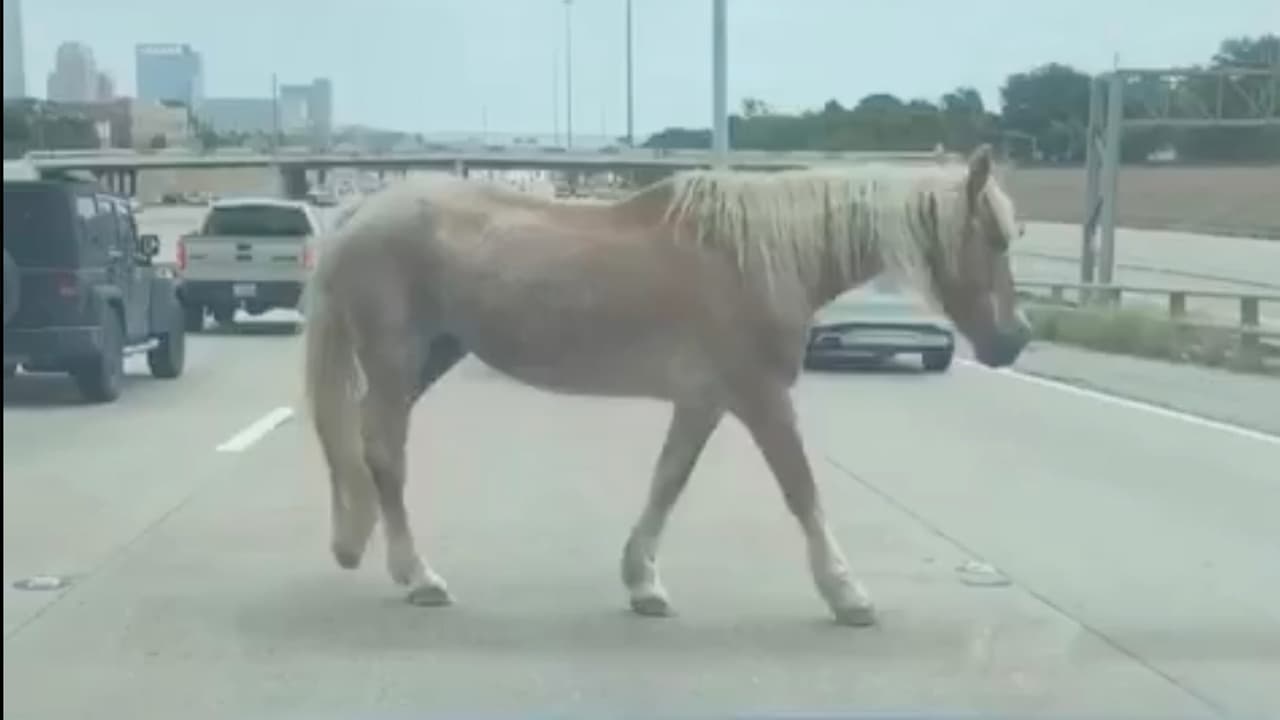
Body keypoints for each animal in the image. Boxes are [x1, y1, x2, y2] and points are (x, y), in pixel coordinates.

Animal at [302, 145, 1029, 626]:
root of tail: (362, 210)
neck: (757, 256)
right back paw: (418, 576)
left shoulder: (703, 402)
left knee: (367, 447)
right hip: (396, 359)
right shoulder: (761, 399)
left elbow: (668, 482)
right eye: (995, 237)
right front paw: (847, 594)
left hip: (430, 359)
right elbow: (802, 492)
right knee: (384, 454)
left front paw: (643, 584)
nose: (1015, 340)